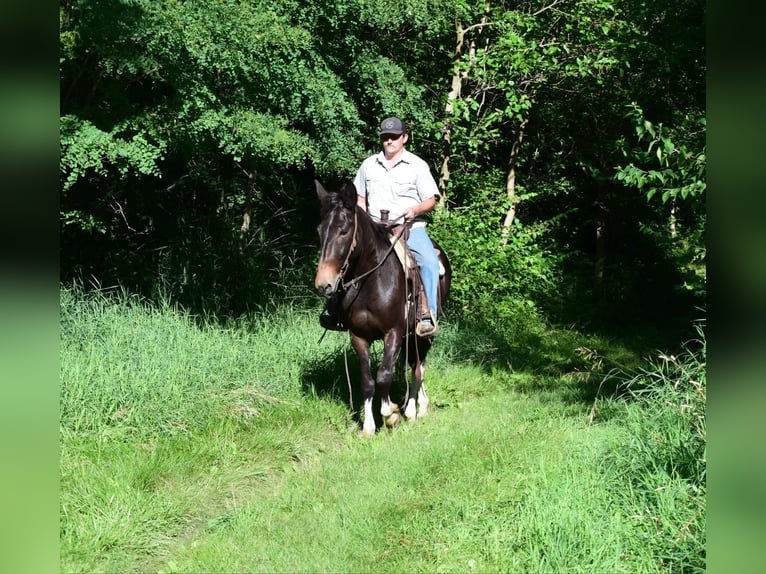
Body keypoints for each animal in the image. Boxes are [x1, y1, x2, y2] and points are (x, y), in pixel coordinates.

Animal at [316, 180, 452, 436]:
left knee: (418, 367)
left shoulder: (394, 333)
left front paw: (391, 414)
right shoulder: (358, 336)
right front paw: (368, 427)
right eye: (319, 231)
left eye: (344, 230)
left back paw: (415, 409)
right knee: (413, 364)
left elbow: (384, 376)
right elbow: (368, 382)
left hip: (423, 333)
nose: (323, 284)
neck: (371, 282)